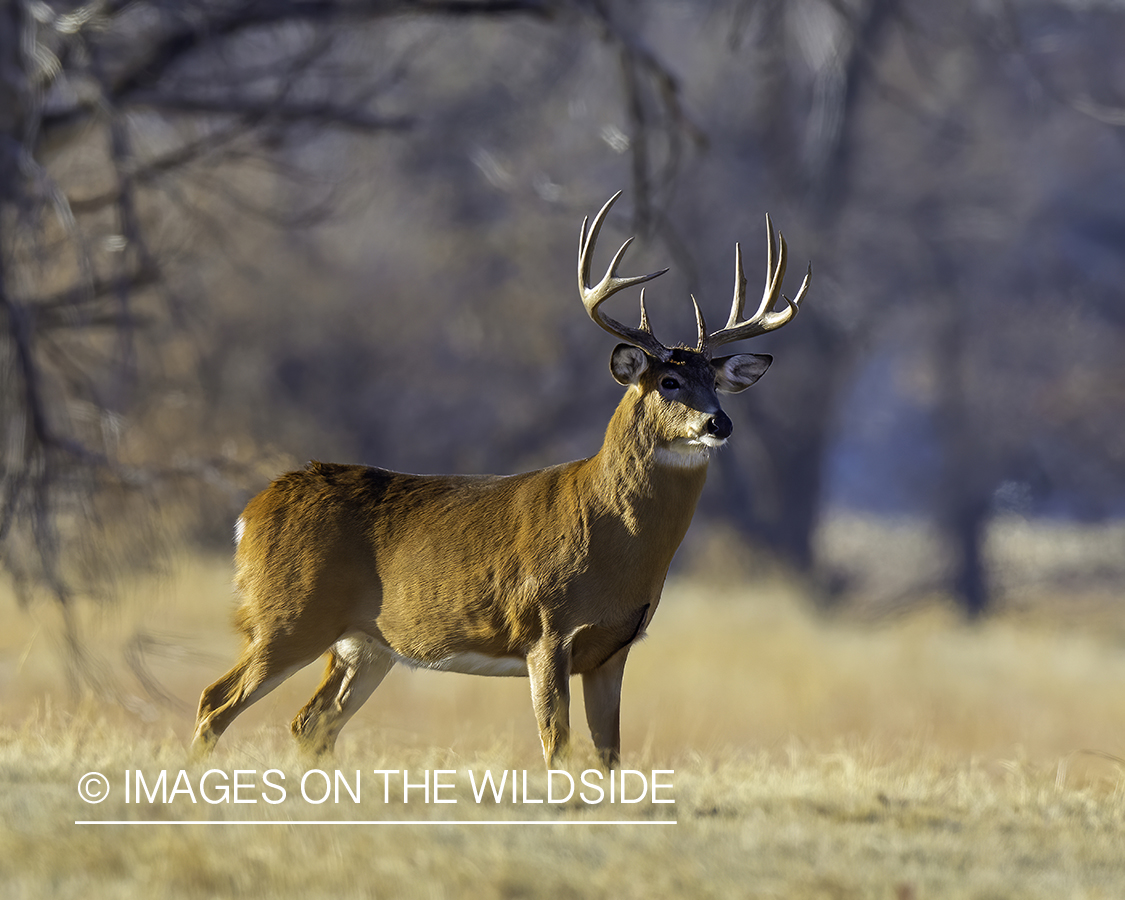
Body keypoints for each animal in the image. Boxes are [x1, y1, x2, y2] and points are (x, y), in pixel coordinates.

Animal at [193, 193, 810, 769]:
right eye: (670, 381)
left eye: (716, 381)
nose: (719, 423)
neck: (610, 536)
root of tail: (250, 512)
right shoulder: (547, 629)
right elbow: (556, 743)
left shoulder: (613, 649)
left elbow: (609, 753)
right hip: (287, 614)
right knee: (214, 700)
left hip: (364, 644)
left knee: (310, 722)